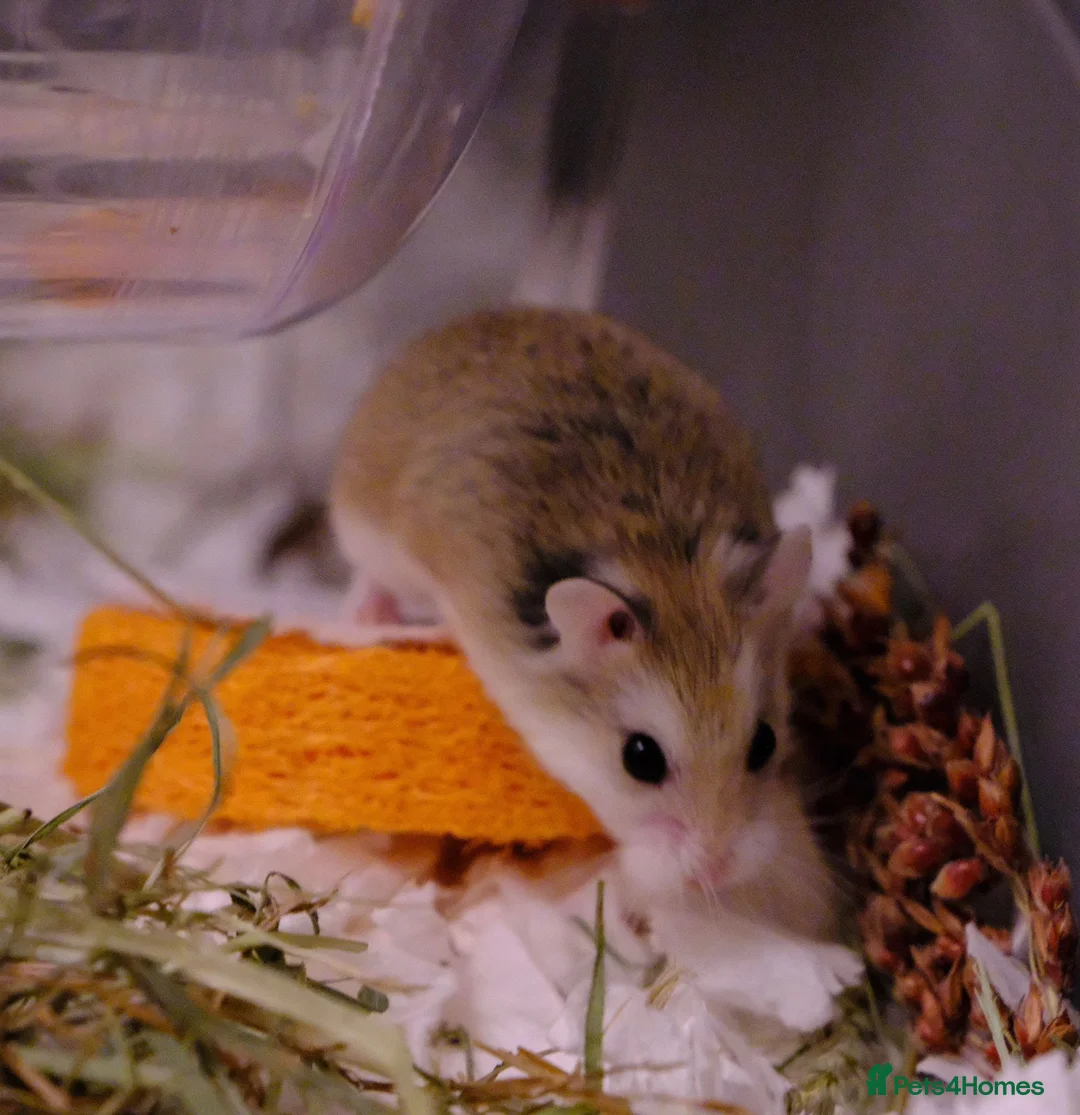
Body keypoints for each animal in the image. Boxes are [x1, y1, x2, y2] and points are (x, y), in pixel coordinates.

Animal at [330, 307, 834, 938]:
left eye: (765, 742)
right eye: (639, 758)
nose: (714, 875)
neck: (662, 562)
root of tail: (468, 321)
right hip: (364, 528)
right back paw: (368, 615)